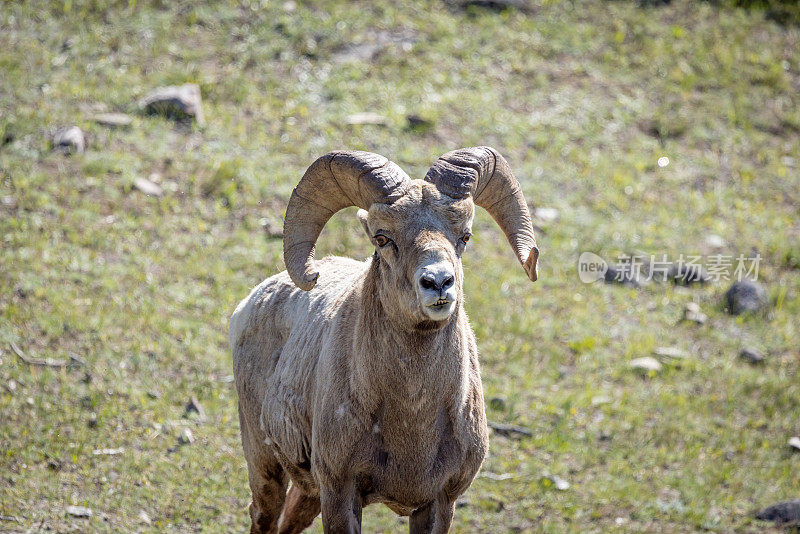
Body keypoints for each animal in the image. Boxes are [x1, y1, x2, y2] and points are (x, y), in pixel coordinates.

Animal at [231, 147, 544, 534]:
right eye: (382, 238)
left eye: (465, 237)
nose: (438, 283)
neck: (412, 422)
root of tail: (250, 303)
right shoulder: (340, 493)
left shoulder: (440, 502)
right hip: (264, 464)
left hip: (308, 492)